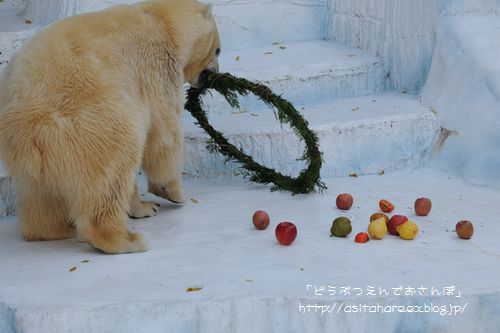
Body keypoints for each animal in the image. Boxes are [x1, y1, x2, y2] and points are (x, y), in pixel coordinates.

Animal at [0, 0, 221, 253]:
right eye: (217, 50)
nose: (213, 75)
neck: (159, 21)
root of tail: (25, 125)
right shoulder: (154, 66)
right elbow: (164, 131)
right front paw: (171, 194)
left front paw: (146, 207)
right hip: (90, 125)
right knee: (116, 161)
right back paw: (125, 239)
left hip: (31, 159)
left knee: (41, 198)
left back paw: (53, 229)